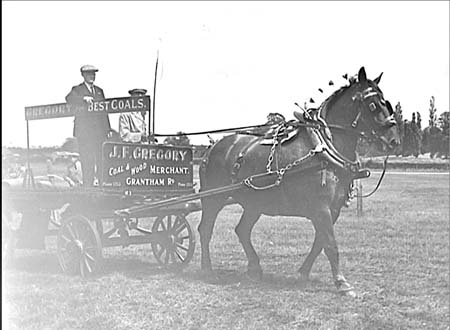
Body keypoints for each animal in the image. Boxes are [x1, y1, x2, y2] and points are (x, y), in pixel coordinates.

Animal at [198, 67, 400, 296]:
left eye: (387, 102)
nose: (394, 141)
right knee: (205, 229)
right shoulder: (321, 208)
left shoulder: (333, 210)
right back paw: (207, 270)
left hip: (255, 204)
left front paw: (303, 273)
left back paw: (254, 268)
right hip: (214, 199)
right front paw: (342, 283)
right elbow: (330, 244)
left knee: (242, 230)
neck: (325, 147)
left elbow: (320, 242)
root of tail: (213, 147)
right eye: (373, 104)